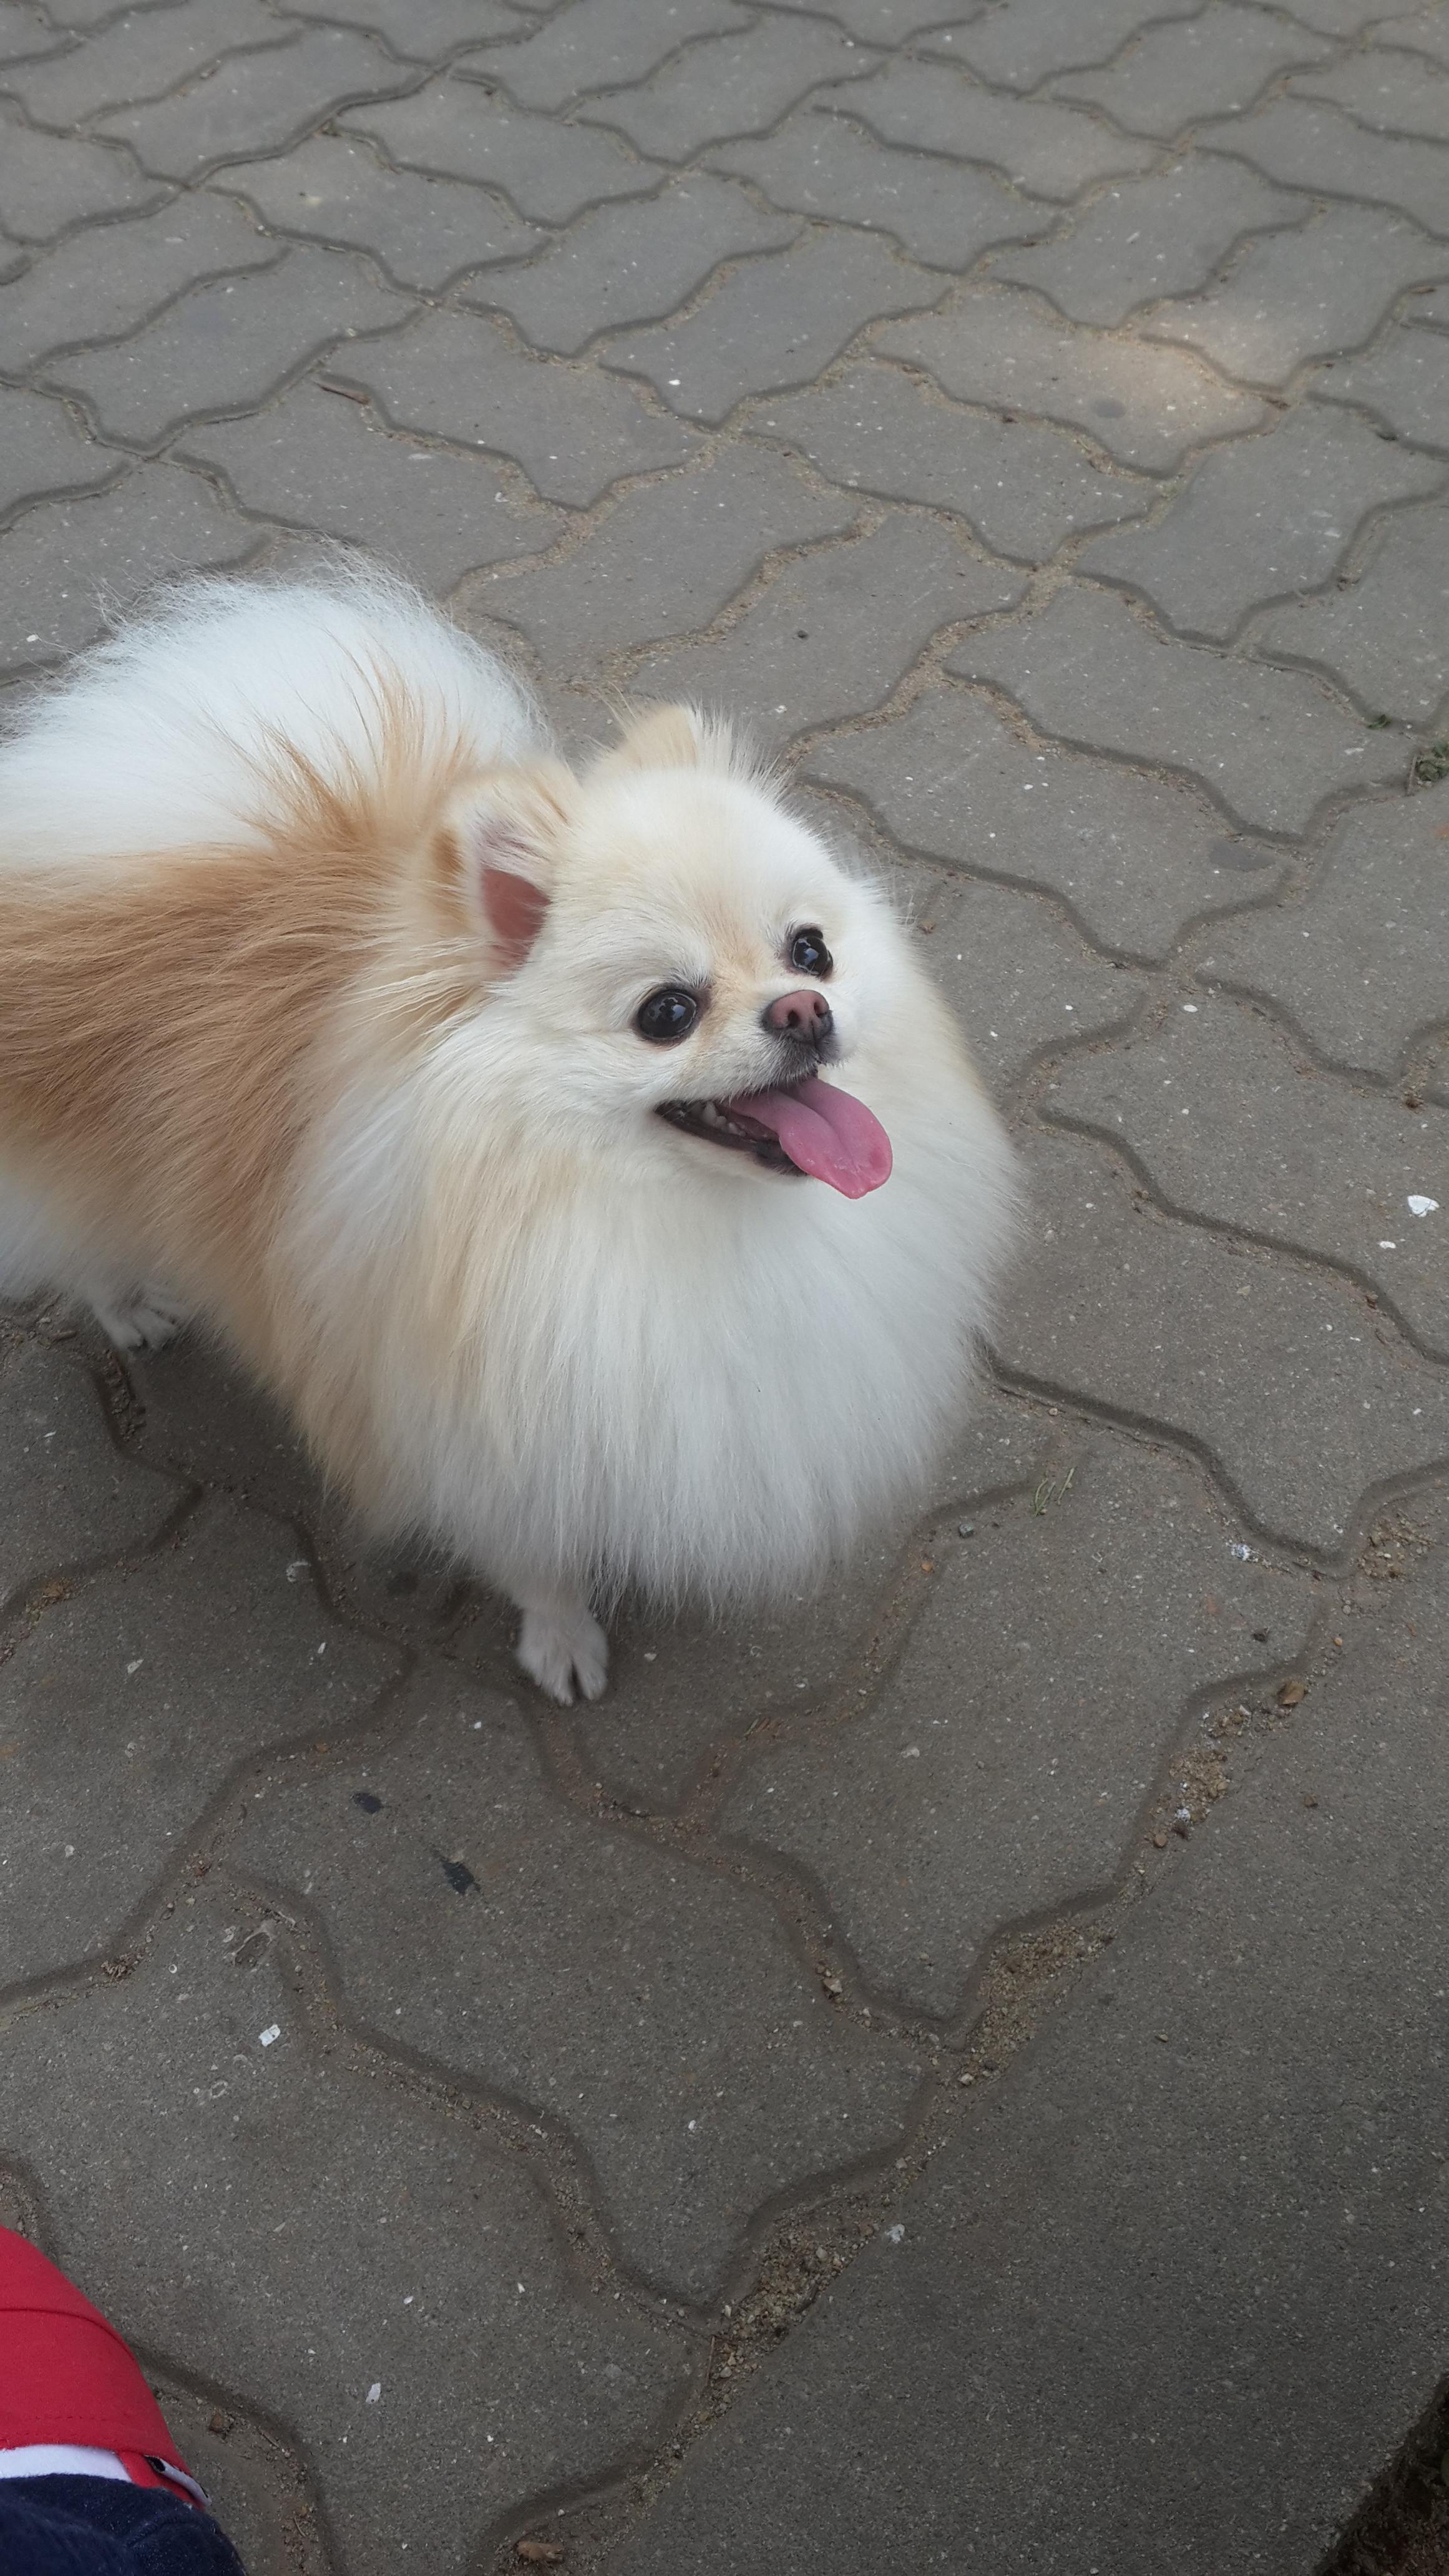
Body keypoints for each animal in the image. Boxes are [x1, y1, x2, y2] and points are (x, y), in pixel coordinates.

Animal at [0, 565, 1015, 1702]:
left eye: (810, 949)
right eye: (666, 1012)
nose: (802, 1010)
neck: (652, 1217)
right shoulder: (480, 1428)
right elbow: (538, 1559)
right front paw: (562, 1639)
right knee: (80, 1247)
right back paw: (130, 1308)